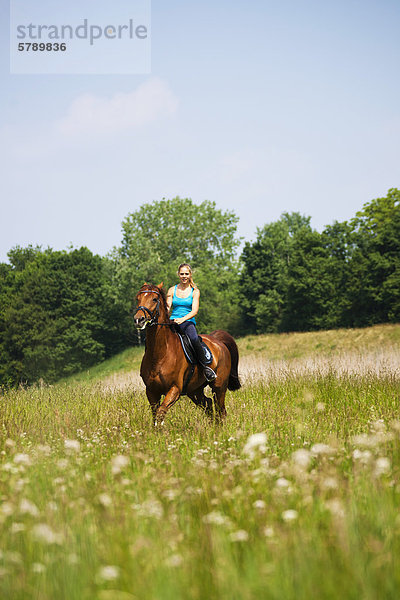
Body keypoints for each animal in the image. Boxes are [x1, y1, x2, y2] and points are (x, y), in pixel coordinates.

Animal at [134, 284, 241, 424]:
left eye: (154, 299)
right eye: (137, 299)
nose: (138, 320)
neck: (160, 354)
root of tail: (218, 341)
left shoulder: (174, 389)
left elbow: (161, 413)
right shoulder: (151, 392)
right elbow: (155, 416)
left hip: (219, 386)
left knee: (221, 410)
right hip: (195, 390)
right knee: (208, 405)